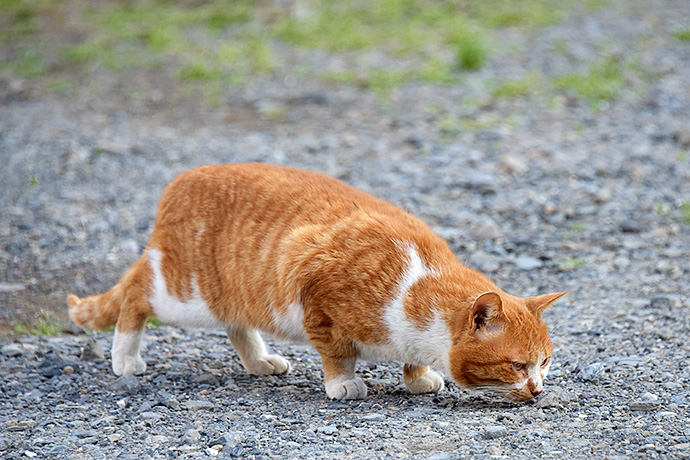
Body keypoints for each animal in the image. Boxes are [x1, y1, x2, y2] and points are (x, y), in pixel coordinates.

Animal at [68, 164, 564, 400]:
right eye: (518, 365)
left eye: (544, 362)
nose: (538, 389)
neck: (415, 284)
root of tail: (177, 184)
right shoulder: (314, 287)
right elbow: (337, 352)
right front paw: (344, 383)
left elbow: (411, 357)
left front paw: (418, 376)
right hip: (183, 293)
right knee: (136, 293)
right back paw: (124, 357)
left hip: (231, 295)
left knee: (236, 322)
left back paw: (259, 361)